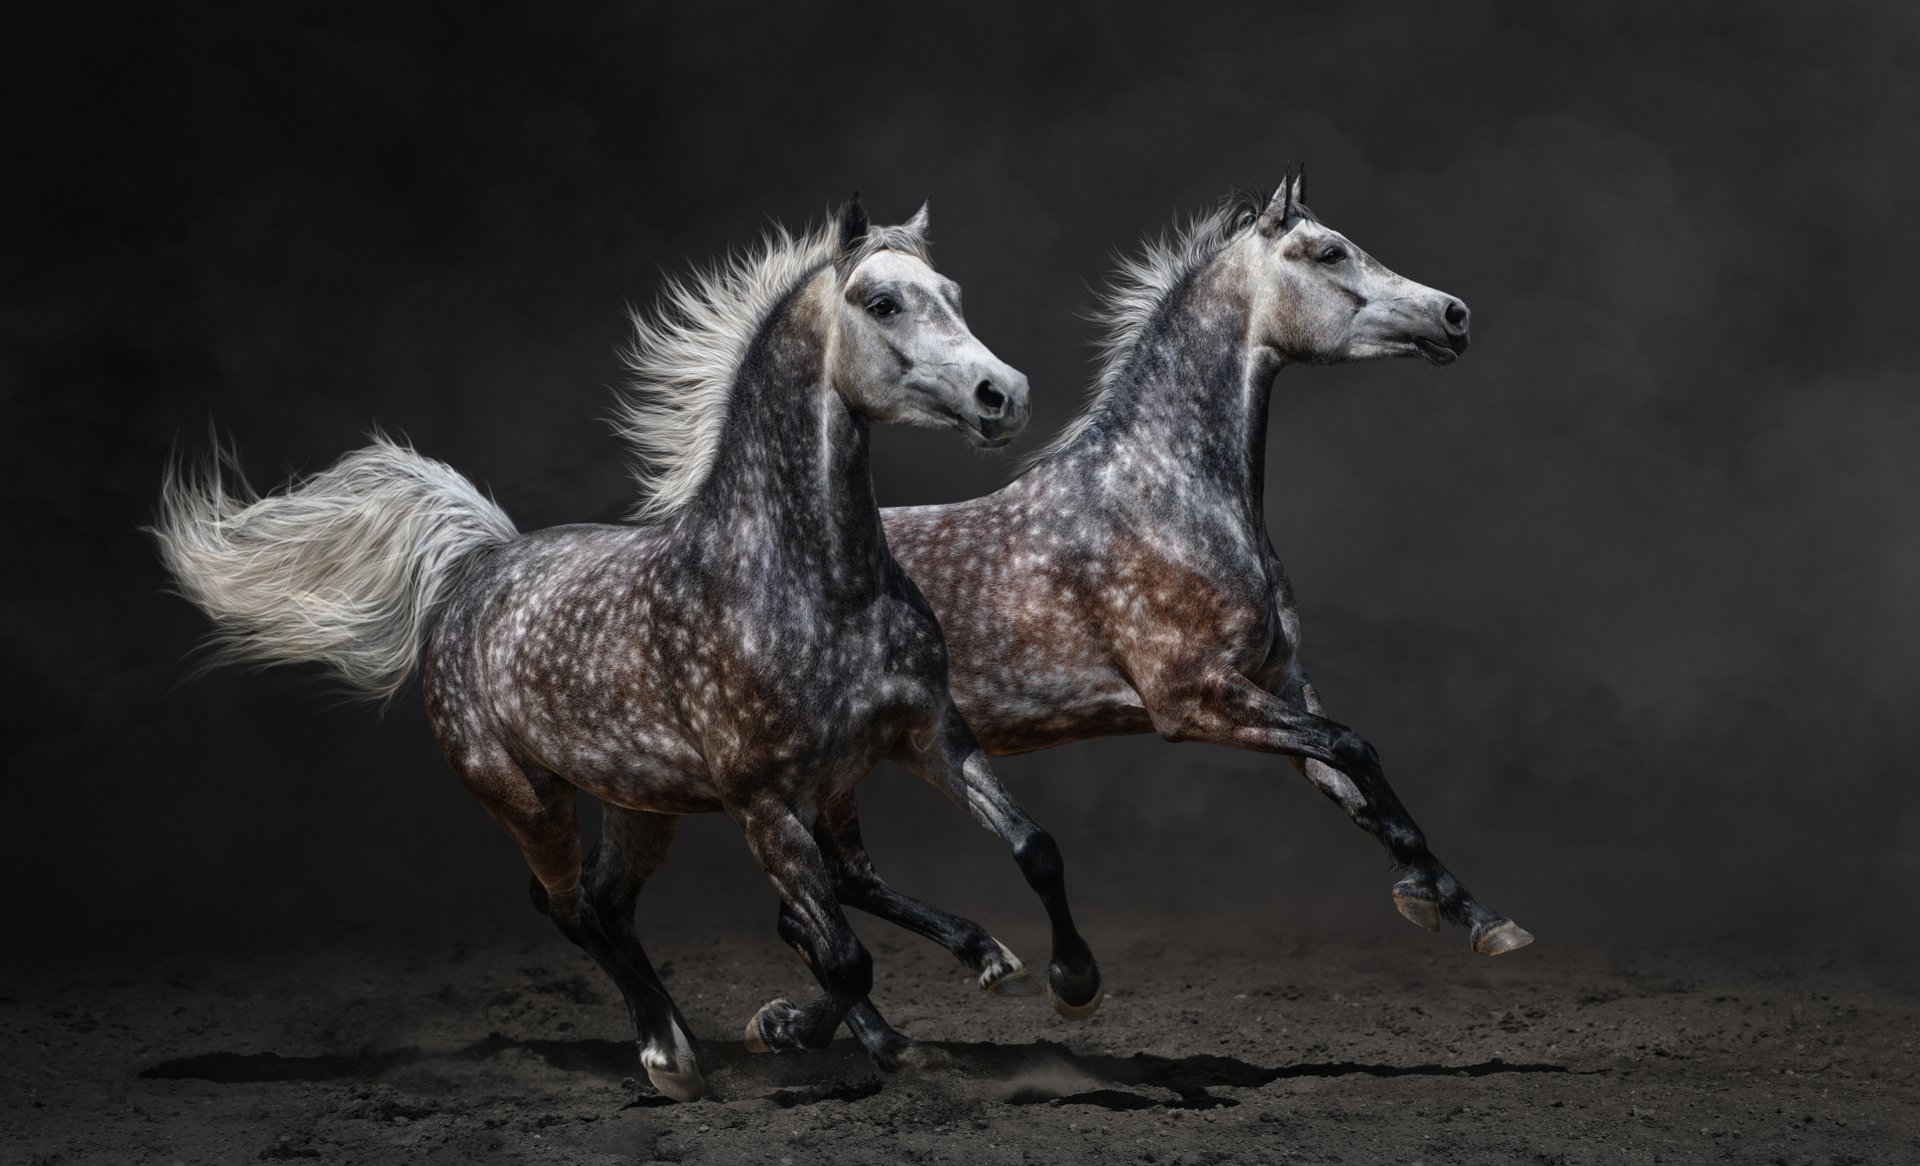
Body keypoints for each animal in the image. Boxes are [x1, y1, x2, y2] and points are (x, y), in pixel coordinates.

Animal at [152, 199, 1103, 1102]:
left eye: (953, 295)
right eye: (882, 302)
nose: (1002, 394)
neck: (812, 583)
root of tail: (478, 568)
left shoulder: (926, 736)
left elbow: (1031, 848)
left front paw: (1066, 981)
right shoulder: (760, 801)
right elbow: (840, 956)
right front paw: (785, 1027)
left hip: (648, 804)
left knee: (643, 902)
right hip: (527, 797)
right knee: (573, 908)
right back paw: (669, 1053)